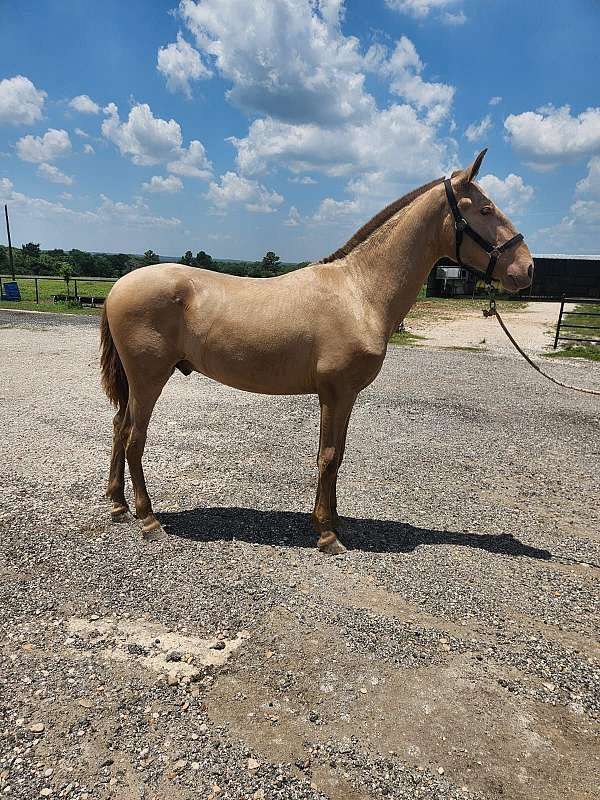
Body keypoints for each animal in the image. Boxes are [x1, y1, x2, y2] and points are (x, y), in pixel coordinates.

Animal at [101, 147, 532, 552]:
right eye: (486, 209)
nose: (526, 269)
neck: (359, 291)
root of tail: (119, 286)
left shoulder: (345, 395)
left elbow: (337, 455)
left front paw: (334, 521)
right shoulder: (334, 392)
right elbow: (327, 455)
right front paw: (327, 534)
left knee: (120, 427)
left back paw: (118, 505)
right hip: (149, 379)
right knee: (134, 437)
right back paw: (148, 519)